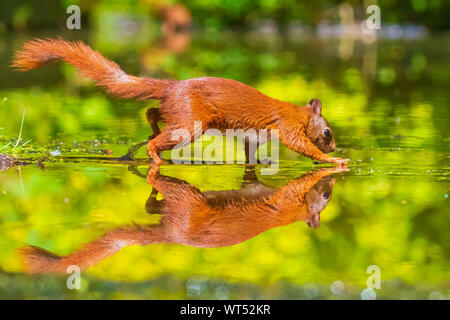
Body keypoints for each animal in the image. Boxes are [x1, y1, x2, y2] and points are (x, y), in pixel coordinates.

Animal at [10, 38, 348, 165]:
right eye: (328, 132)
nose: (334, 147)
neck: (297, 113)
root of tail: (172, 85)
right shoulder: (286, 126)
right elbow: (302, 146)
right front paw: (334, 161)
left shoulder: (252, 136)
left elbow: (250, 155)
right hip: (190, 125)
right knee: (157, 139)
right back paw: (155, 156)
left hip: (176, 112)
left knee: (152, 111)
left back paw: (152, 130)